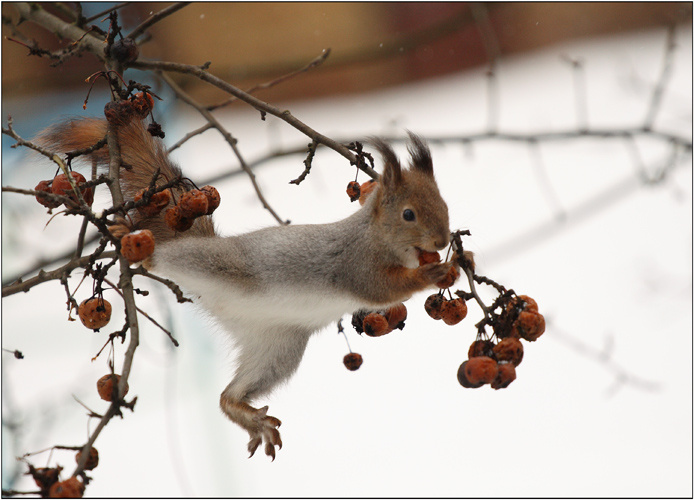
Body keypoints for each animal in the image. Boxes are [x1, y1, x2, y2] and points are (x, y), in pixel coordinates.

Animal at [38, 118, 456, 460]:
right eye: (408, 214)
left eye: (445, 204)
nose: (442, 240)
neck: (376, 237)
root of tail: (226, 309)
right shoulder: (359, 267)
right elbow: (384, 289)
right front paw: (437, 272)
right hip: (215, 264)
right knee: (171, 257)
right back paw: (144, 247)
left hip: (277, 349)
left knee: (228, 396)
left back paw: (248, 416)